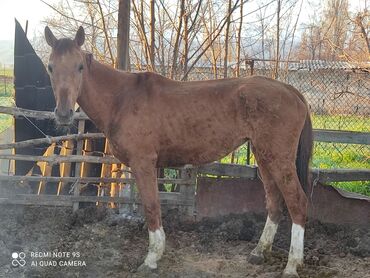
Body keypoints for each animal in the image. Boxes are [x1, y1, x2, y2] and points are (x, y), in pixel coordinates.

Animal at [45, 26, 312, 278]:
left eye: (80, 66)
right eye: (50, 67)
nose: (64, 114)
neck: (121, 99)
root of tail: (290, 89)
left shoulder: (144, 163)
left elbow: (152, 207)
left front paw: (152, 258)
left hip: (279, 159)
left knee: (297, 202)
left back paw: (292, 265)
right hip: (263, 155)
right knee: (274, 201)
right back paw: (259, 251)